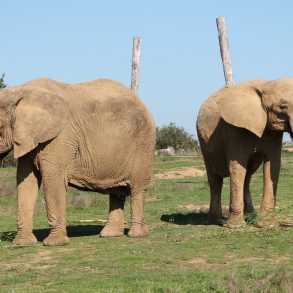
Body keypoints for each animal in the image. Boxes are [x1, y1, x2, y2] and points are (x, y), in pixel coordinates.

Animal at [0, 77, 156, 244]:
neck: (19, 91)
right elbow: (26, 183)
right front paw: (22, 243)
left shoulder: (60, 137)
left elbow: (53, 180)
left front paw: (54, 243)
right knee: (116, 192)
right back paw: (110, 234)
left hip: (143, 145)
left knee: (137, 188)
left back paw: (136, 234)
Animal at [195, 78, 293, 227]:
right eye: (283, 107)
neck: (267, 84)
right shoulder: (233, 128)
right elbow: (237, 167)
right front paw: (236, 226)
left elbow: (273, 165)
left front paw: (267, 225)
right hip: (204, 144)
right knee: (215, 180)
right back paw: (215, 221)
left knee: (247, 177)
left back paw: (251, 217)